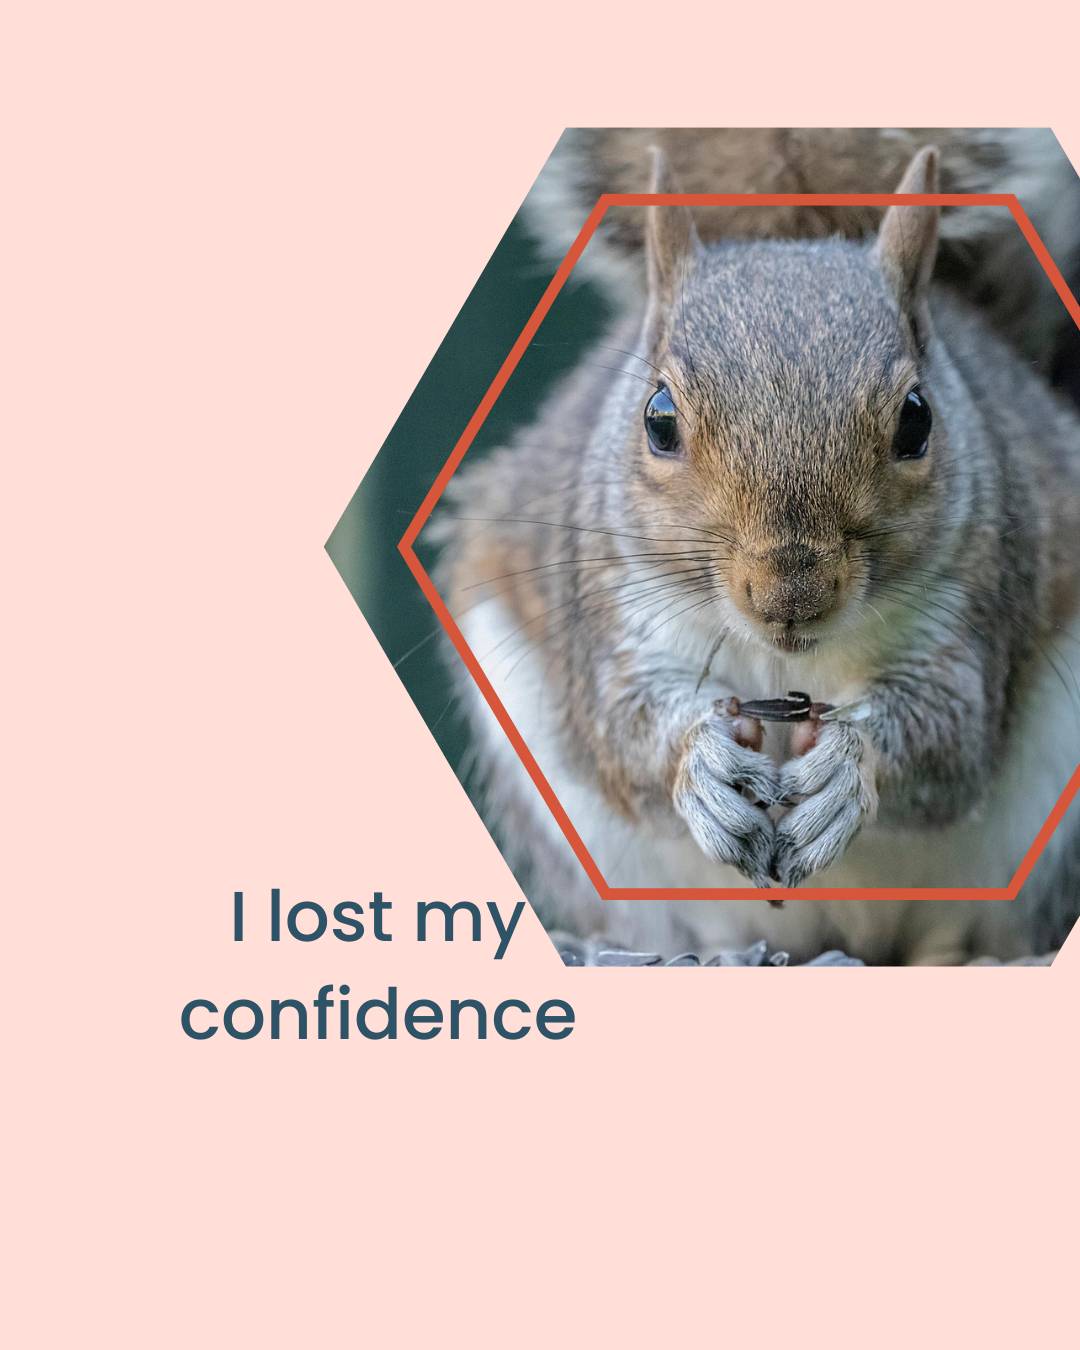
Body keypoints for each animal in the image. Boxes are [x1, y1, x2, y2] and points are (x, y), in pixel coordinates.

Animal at [433, 131, 1080, 965]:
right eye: (659, 420)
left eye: (917, 419)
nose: (789, 594)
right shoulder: (613, 614)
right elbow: (621, 729)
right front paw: (699, 761)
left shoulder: (974, 606)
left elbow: (950, 739)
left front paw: (847, 764)